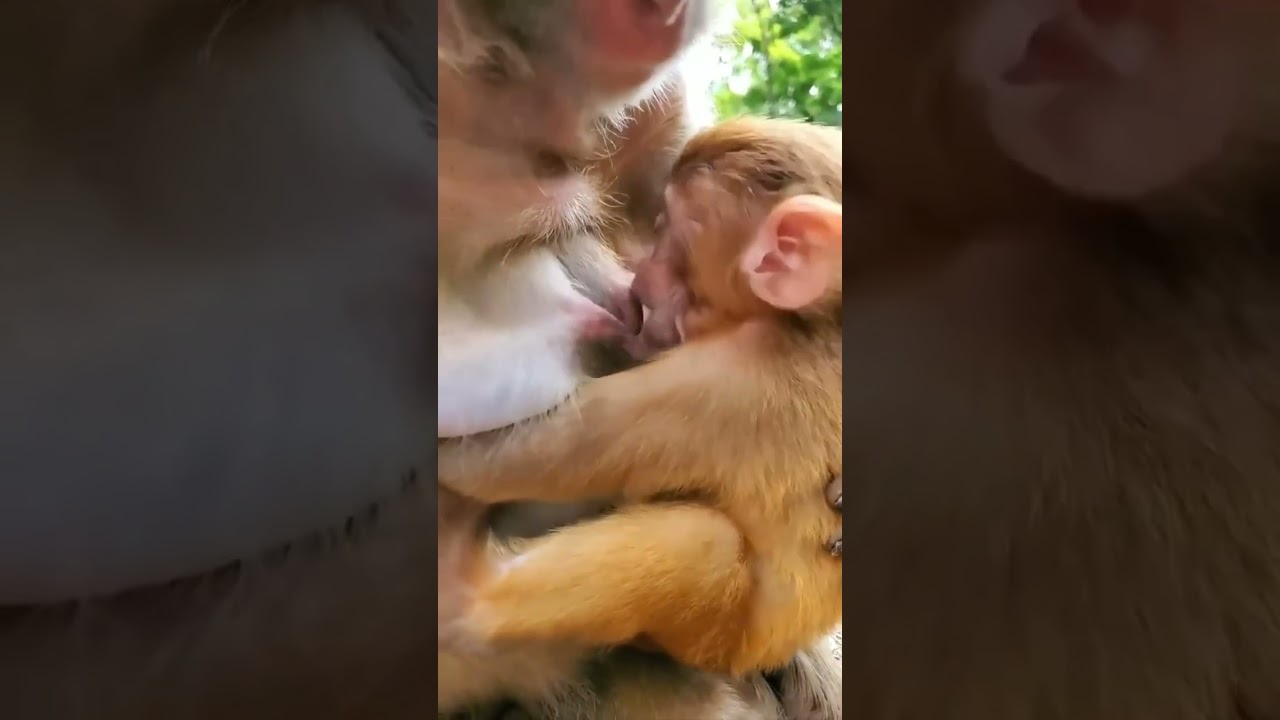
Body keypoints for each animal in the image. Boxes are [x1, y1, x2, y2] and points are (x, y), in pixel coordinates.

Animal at [433, 1, 844, 717]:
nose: (638, 285)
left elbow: (516, 458)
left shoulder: (725, 385)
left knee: (702, 548)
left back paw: (463, 595)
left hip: (724, 637)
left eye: (666, 236)